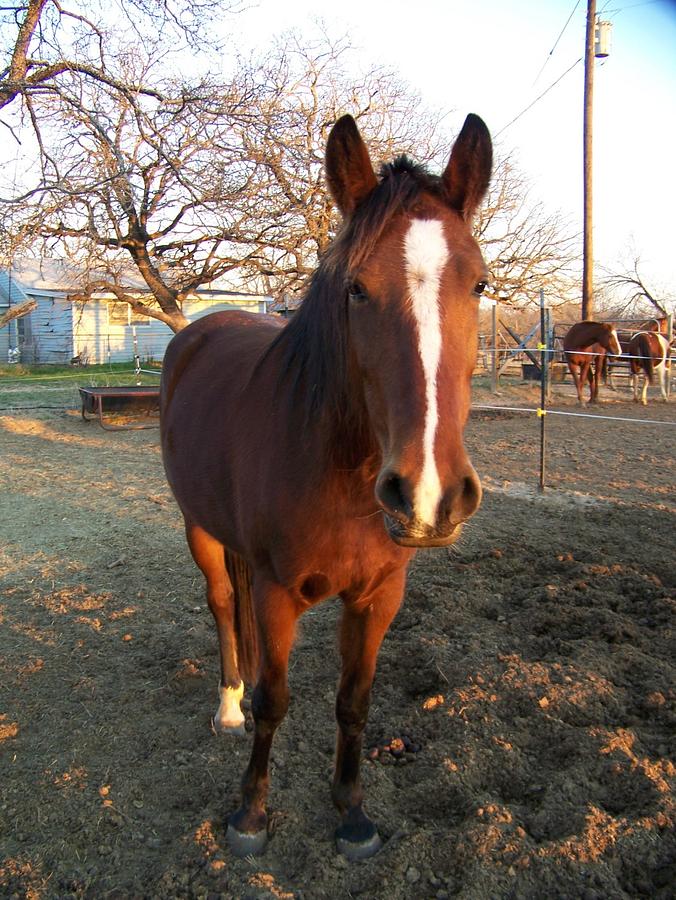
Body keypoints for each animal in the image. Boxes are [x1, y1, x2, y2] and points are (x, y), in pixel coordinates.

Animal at [162, 112, 494, 856]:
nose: (429, 494)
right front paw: (251, 814)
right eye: (357, 287)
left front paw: (352, 811)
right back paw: (229, 704)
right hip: (199, 529)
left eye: (481, 285)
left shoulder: (379, 597)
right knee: (224, 604)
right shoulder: (278, 593)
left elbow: (354, 700)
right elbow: (277, 701)